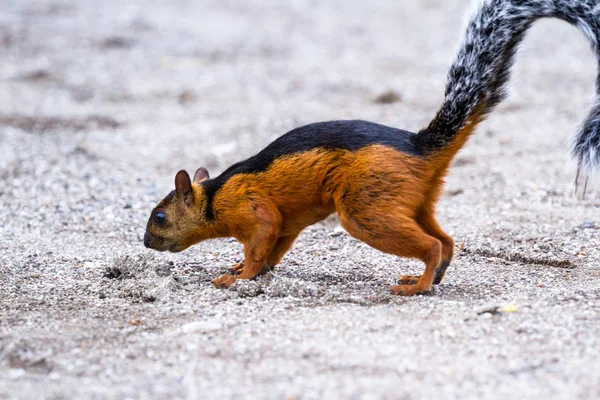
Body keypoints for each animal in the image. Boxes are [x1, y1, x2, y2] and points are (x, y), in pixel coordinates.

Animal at [142, 0, 600, 294]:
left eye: (160, 215)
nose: (145, 243)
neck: (214, 197)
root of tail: (420, 147)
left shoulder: (255, 210)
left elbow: (261, 243)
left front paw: (235, 277)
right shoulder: (286, 223)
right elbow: (273, 249)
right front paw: (244, 271)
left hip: (365, 208)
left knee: (432, 244)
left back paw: (417, 287)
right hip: (412, 201)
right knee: (446, 239)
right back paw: (432, 277)